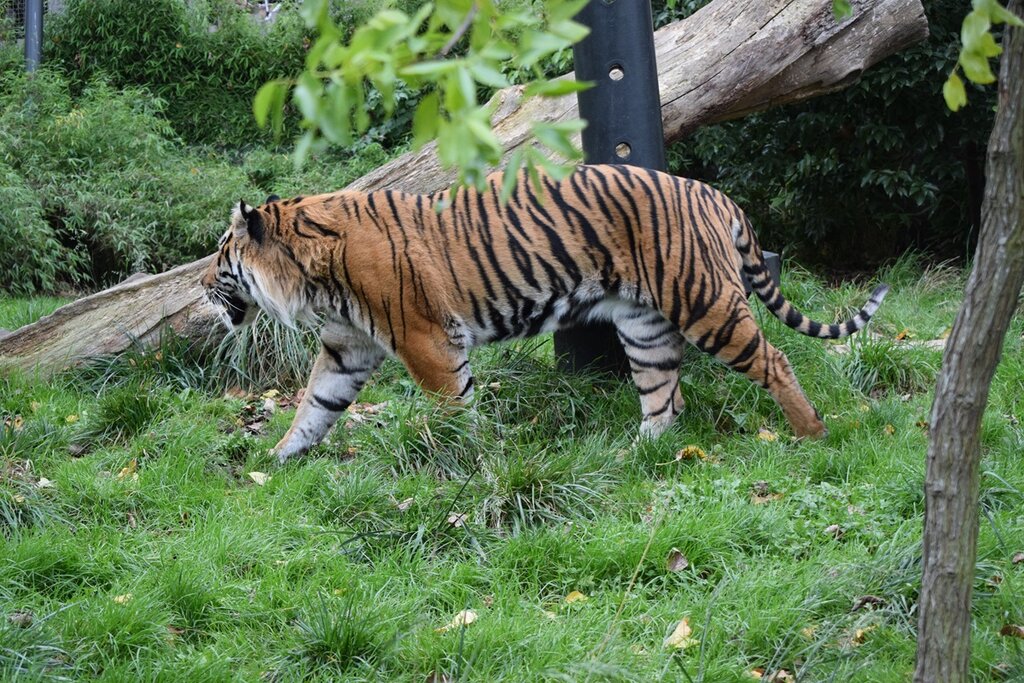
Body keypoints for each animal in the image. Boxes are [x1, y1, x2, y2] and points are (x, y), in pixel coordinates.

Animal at [201, 163, 888, 464]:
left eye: (220, 254)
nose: (204, 285)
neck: (310, 276)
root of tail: (713, 192)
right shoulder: (348, 347)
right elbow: (313, 407)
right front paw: (276, 462)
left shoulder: (427, 341)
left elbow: (455, 409)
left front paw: (473, 463)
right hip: (644, 325)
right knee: (663, 394)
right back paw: (636, 454)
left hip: (704, 301)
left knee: (774, 359)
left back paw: (812, 435)